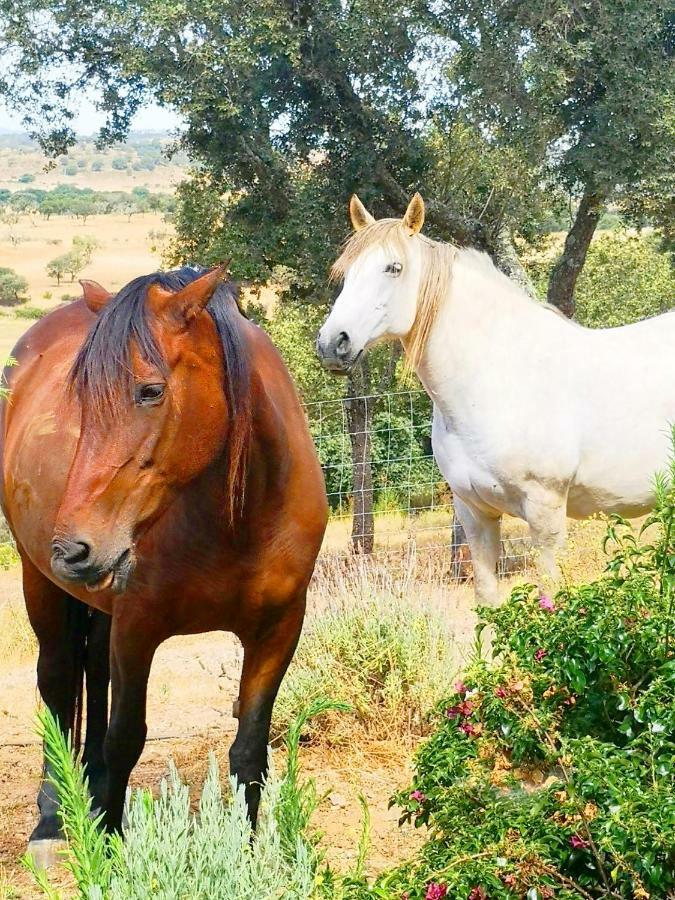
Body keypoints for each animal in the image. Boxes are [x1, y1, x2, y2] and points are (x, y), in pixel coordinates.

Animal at [0, 264, 328, 860]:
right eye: (80, 398)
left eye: (150, 390)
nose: (72, 550)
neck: (236, 520)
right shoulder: (137, 629)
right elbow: (126, 738)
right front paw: (109, 852)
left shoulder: (278, 631)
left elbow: (250, 750)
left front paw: (247, 858)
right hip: (40, 585)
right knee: (57, 683)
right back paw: (52, 819)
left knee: (91, 672)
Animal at [320, 194, 675, 608]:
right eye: (345, 271)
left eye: (394, 267)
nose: (332, 344)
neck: (497, 380)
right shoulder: (475, 514)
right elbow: (487, 604)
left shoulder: (545, 513)